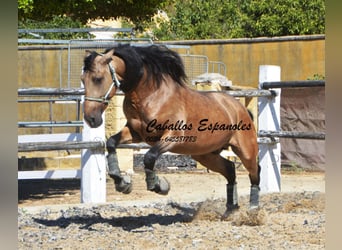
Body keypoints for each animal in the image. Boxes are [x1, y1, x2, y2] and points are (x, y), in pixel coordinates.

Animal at [81, 44, 260, 218]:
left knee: (255, 172)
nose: (91, 119)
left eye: (98, 79)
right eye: (83, 79)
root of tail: (238, 106)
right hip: (205, 155)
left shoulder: (172, 137)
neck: (151, 96)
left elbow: (149, 156)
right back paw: (231, 209)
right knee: (230, 169)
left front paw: (159, 185)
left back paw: (253, 210)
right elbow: (111, 143)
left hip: (245, 151)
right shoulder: (136, 133)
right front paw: (122, 182)